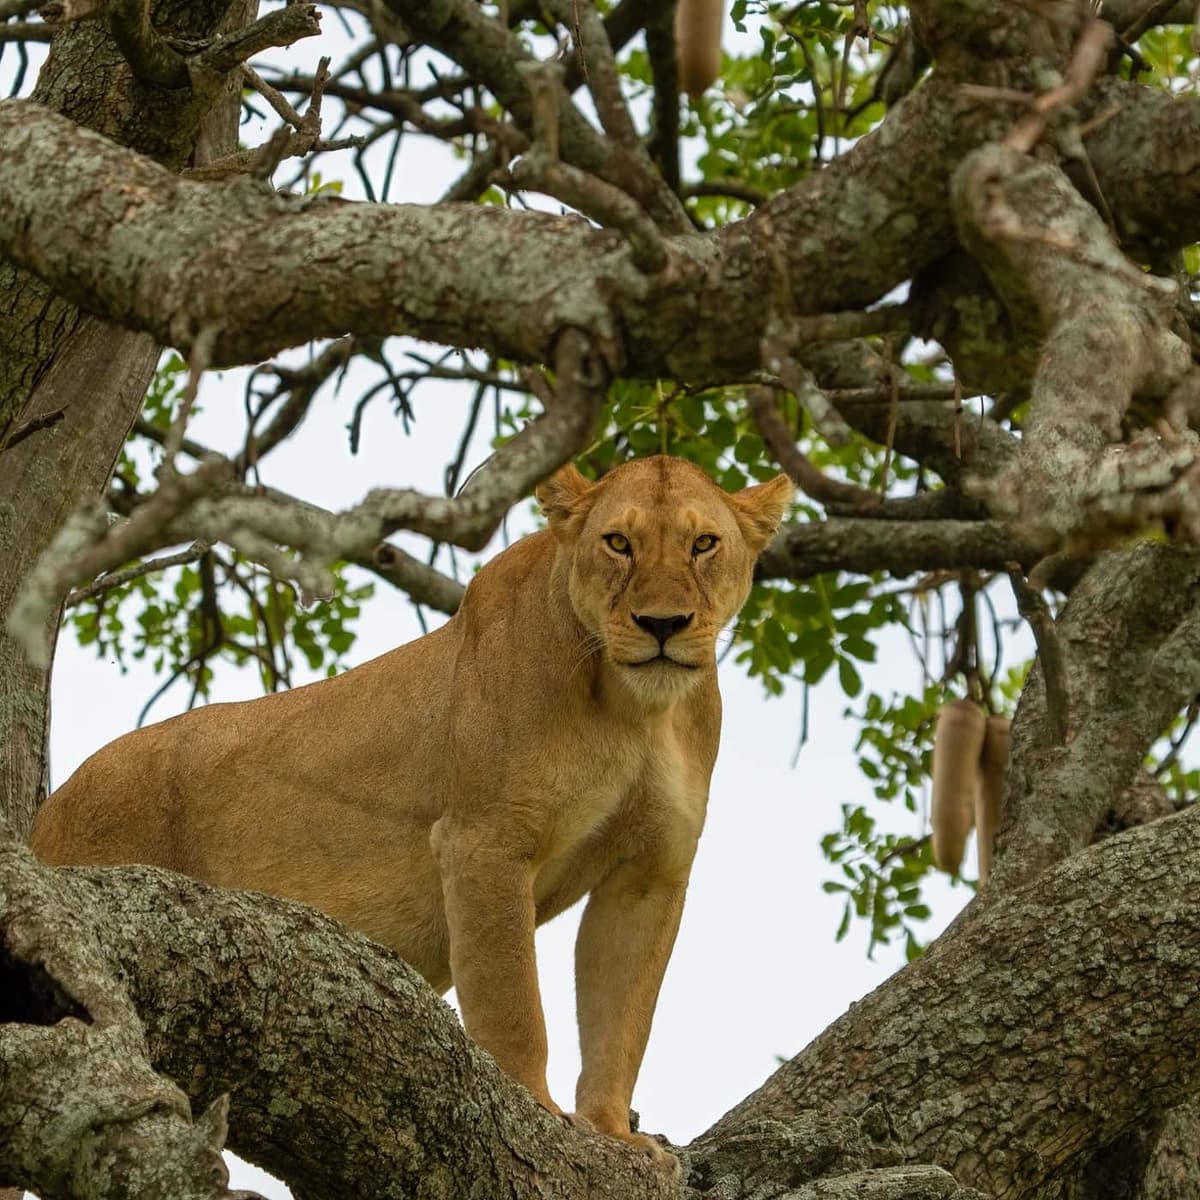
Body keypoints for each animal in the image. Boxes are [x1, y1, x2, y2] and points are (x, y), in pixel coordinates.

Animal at [31, 455, 793, 1156]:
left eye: (704, 544)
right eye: (618, 543)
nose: (663, 623)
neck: (635, 710)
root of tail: (48, 809)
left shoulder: (648, 872)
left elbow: (622, 1018)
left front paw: (612, 1135)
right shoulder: (484, 841)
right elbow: (513, 1000)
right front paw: (534, 1109)